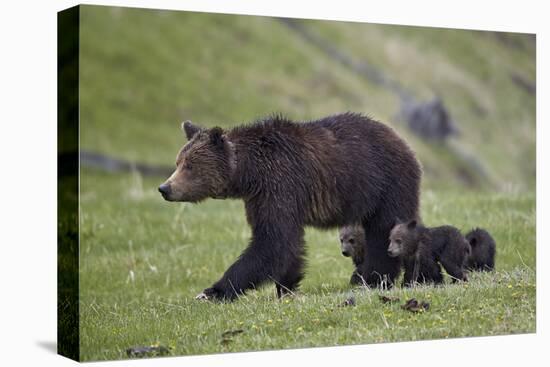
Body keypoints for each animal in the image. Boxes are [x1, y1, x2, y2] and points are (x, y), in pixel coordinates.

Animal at [160, 113, 422, 300]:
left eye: (190, 166)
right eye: (178, 162)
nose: (165, 188)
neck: (249, 174)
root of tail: (403, 142)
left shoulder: (280, 184)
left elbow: (272, 242)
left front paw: (212, 291)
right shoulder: (259, 197)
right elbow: (286, 245)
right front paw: (287, 286)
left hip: (385, 184)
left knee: (383, 231)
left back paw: (374, 277)